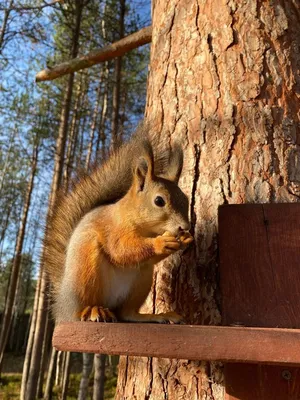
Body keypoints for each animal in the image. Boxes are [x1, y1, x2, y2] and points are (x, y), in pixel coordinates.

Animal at [44, 126, 193, 324]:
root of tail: (63, 308)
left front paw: (184, 240)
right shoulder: (113, 229)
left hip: (142, 278)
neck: (146, 229)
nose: (185, 227)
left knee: (126, 313)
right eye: (159, 201)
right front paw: (160, 243)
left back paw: (155, 316)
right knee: (82, 309)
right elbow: (120, 250)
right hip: (86, 271)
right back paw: (92, 310)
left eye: (186, 199)